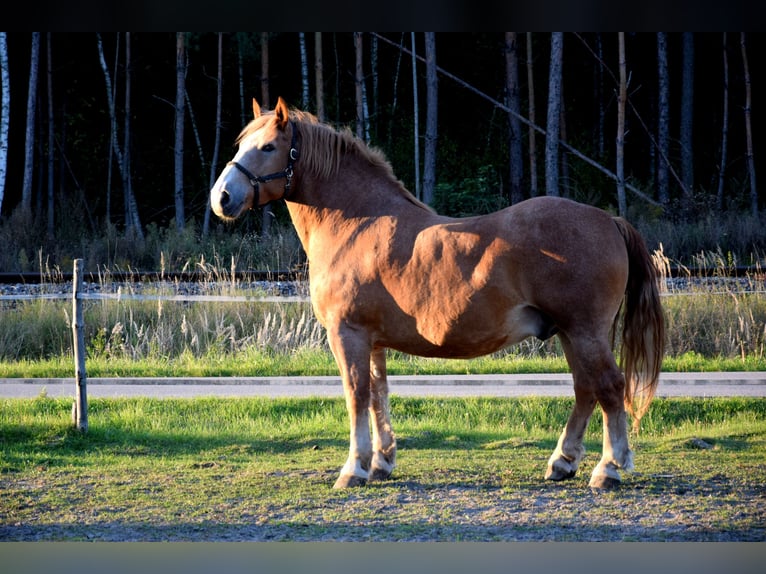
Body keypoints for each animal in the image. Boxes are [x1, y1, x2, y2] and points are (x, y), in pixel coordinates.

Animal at [210, 97, 665, 490]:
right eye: (241, 144)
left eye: (268, 146)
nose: (222, 197)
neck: (356, 224)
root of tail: (608, 220)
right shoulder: (374, 341)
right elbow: (378, 396)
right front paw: (381, 462)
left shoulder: (347, 334)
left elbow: (356, 395)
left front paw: (353, 469)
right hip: (572, 333)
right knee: (586, 390)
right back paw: (563, 462)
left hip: (585, 331)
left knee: (609, 387)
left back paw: (608, 469)